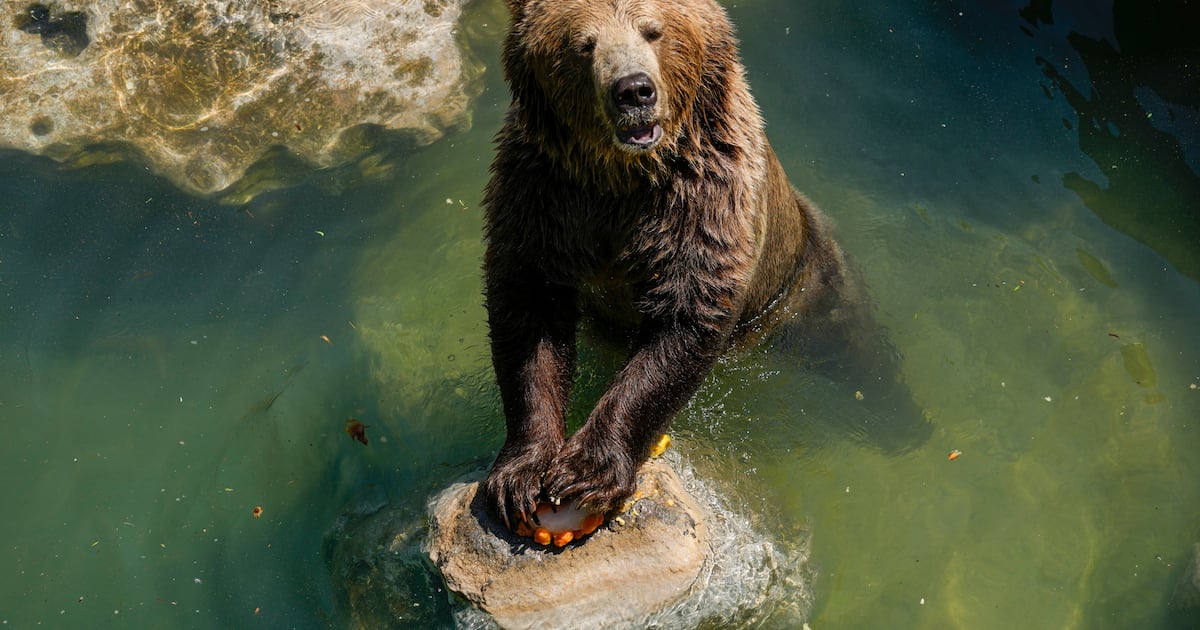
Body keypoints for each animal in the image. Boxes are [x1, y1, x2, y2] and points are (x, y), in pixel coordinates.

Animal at [481, 0, 918, 531]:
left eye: (653, 31)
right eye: (583, 44)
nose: (634, 90)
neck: (620, 176)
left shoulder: (705, 197)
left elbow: (687, 313)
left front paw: (589, 470)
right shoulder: (545, 194)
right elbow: (529, 308)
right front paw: (520, 474)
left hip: (809, 284)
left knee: (857, 353)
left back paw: (905, 423)